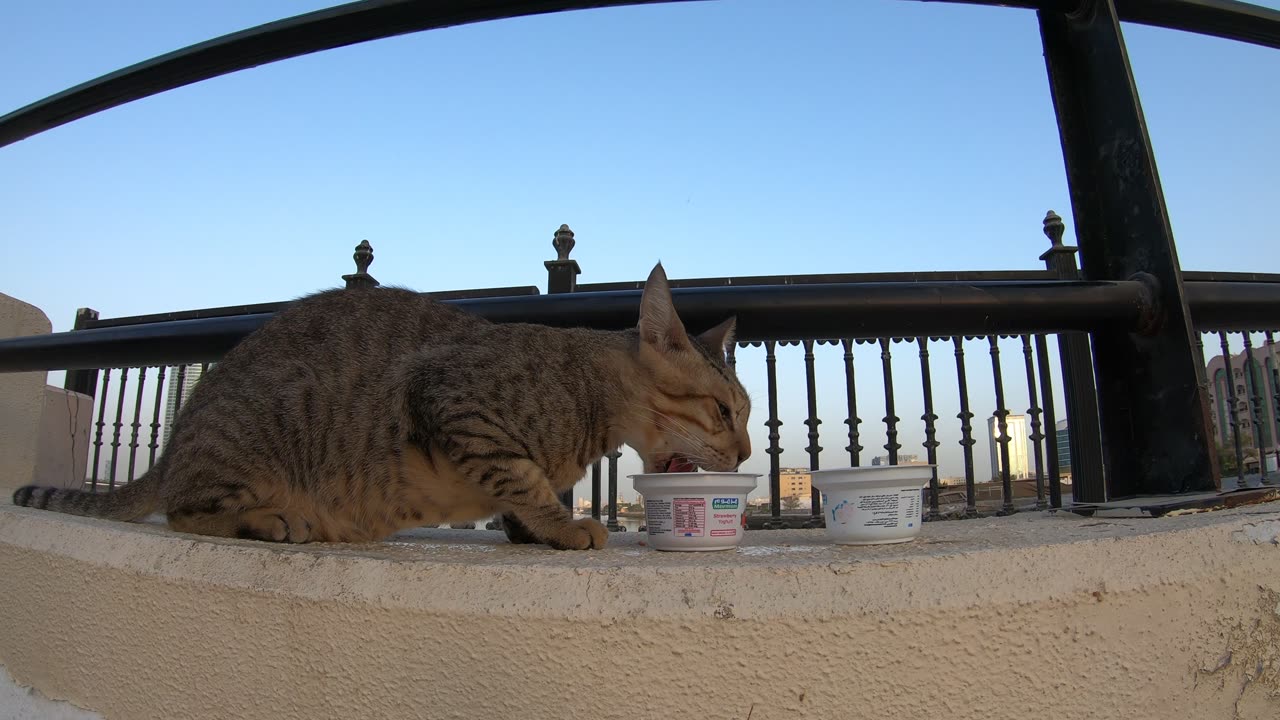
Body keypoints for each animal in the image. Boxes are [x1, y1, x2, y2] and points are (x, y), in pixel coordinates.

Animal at [10, 260, 747, 545]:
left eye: (743, 413)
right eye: (723, 410)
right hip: (259, 432)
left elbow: (519, 493)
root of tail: (175, 442)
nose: (743, 452)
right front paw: (563, 525)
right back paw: (269, 520)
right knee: (188, 509)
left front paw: (535, 529)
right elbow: (522, 478)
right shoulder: (456, 401)